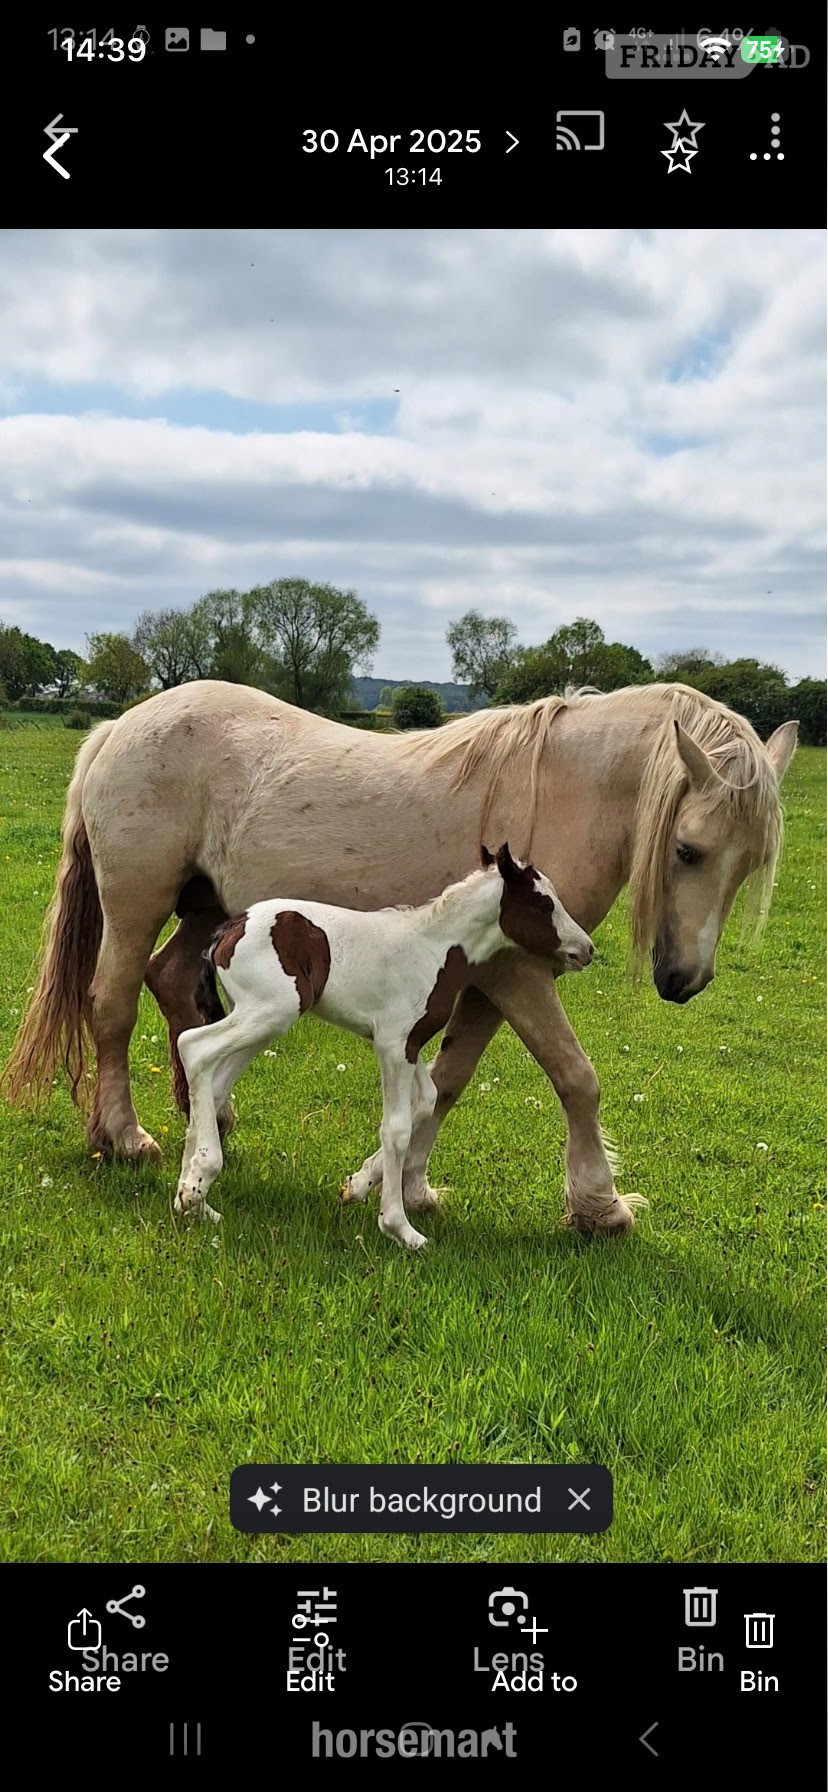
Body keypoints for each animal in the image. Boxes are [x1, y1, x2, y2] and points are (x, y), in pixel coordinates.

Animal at [175, 843, 595, 1243]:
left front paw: (357, 1185)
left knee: (213, 1084)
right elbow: (397, 1129)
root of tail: (229, 930)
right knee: (193, 1046)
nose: (587, 949)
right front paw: (399, 1227)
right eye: (543, 903)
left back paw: (192, 1197)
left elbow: (426, 1100)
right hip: (269, 1012)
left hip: (261, 1023)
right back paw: (201, 1178)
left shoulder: (410, 1045)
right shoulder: (394, 1046)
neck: (435, 950)